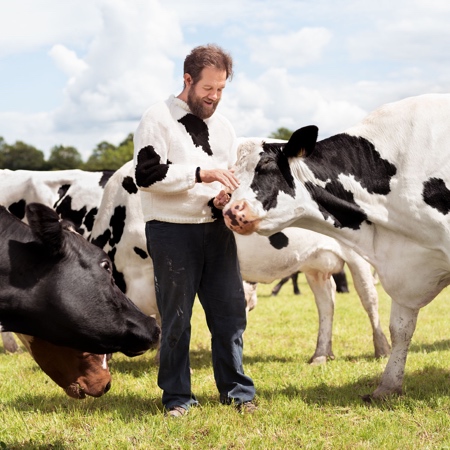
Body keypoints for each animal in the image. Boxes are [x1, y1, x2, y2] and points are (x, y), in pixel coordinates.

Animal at [225, 93, 450, 400]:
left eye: (267, 165)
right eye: (231, 174)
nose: (229, 211)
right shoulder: (403, 264)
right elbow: (401, 328)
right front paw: (388, 387)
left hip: (355, 260)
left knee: (367, 298)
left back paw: (376, 348)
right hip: (315, 264)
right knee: (327, 300)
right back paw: (321, 353)